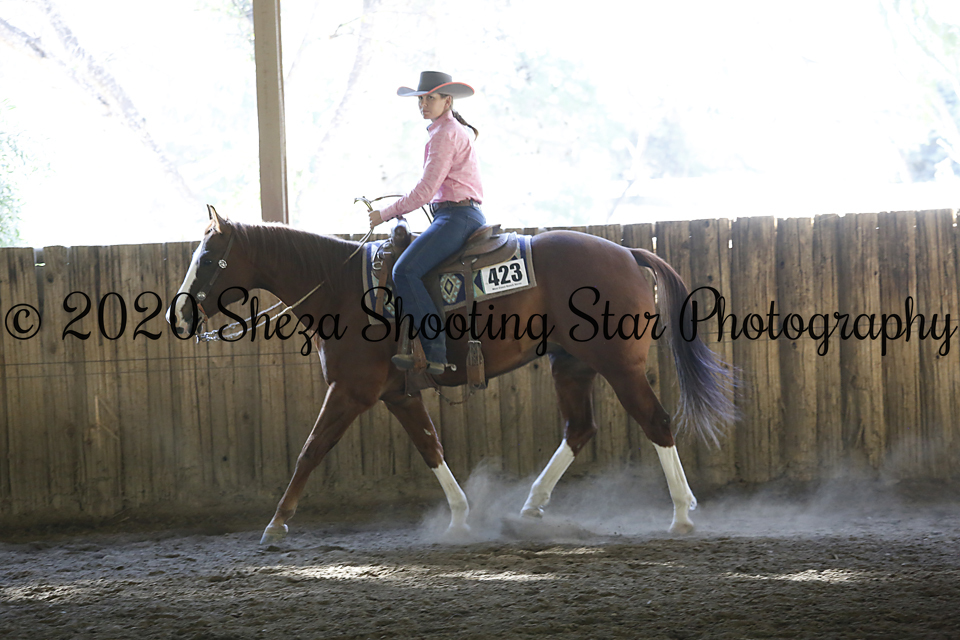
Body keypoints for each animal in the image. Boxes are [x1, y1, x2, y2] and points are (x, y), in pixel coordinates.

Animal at [169, 207, 736, 545]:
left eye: (210, 259)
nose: (177, 316)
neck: (342, 290)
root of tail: (627, 253)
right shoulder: (397, 395)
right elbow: (430, 446)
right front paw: (461, 518)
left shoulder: (351, 392)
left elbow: (311, 449)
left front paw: (276, 523)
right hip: (572, 365)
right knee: (580, 429)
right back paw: (529, 511)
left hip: (618, 366)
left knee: (657, 423)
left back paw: (682, 516)